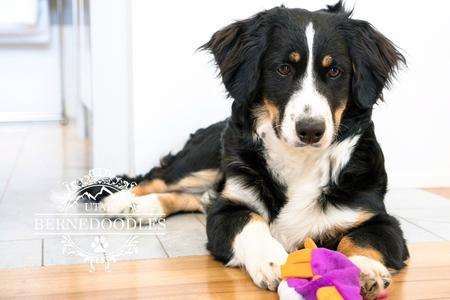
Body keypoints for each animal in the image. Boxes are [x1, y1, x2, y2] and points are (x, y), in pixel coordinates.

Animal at [100, 1, 410, 298]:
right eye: (283, 69)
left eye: (335, 71)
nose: (311, 130)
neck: (300, 161)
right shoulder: (229, 207)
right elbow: (249, 221)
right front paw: (271, 260)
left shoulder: (376, 217)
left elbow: (361, 239)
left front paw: (363, 270)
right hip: (205, 156)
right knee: (160, 177)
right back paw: (120, 201)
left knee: (196, 197)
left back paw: (145, 208)